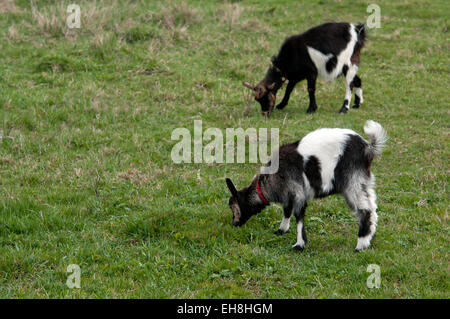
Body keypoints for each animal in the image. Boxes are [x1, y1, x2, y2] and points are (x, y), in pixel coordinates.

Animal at [225, 120, 386, 252]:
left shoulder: (297, 191)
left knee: (364, 210)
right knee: (372, 208)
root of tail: (367, 147)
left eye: (234, 207)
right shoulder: (288, 194)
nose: (234, 223)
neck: (270, 180)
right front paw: (281, 230)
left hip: (352, 181)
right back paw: (369, 238)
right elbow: (287, 210)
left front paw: (299, 244)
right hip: (364, 182)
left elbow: (298, 216)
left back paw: (360, 245)